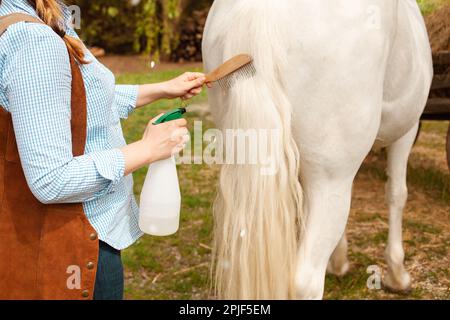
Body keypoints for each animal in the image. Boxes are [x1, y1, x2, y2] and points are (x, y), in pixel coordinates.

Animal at [203, 0, 432, 300]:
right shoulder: (407, 131)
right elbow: (396, 194)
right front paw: (397, 274)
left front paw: (339, 260)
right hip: (331, 179)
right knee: (305, 281)